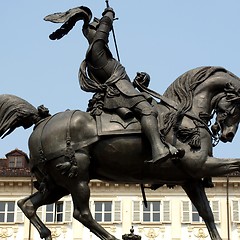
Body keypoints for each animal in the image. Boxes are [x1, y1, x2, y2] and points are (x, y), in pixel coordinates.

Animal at [1, 66, 240, 240]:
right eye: (238, 103)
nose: (228, 135)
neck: (184, 117)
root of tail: (42, 121)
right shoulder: (199, 165)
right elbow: (236, 163)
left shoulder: (191, 179)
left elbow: (207, 213)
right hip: (77, 175)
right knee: (81, 213)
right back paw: (111, 239)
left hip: (57, 183)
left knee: (27, 204)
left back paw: (47, 233)